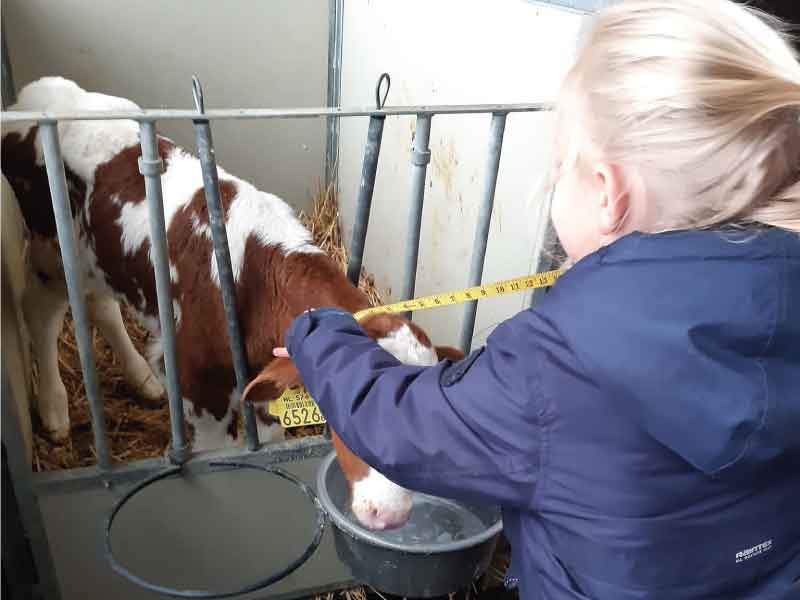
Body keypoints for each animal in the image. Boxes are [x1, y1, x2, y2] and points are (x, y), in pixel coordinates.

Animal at [3, 76, 462, 528]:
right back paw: (55, 410)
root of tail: (41, 91)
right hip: (51, 250)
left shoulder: (266, 387)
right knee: (43, 312)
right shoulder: (198, 385)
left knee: (100, 304)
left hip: (101, 257)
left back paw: (142, 380)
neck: (257, 277)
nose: (392, 516)